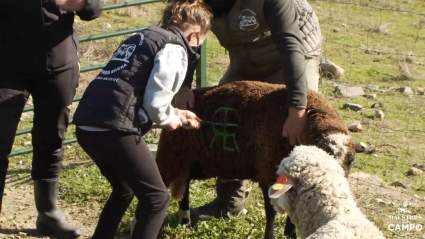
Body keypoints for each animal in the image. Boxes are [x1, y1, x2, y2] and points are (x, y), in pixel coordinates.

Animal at [156, 81, 354, 239]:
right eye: (325, 155)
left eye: (350, 162)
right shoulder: (269, 173)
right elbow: (271, 213)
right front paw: (270, 236)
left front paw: (291, 234)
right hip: (170, 158)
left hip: (193, 162)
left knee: (186, 186)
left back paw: (185, 221)